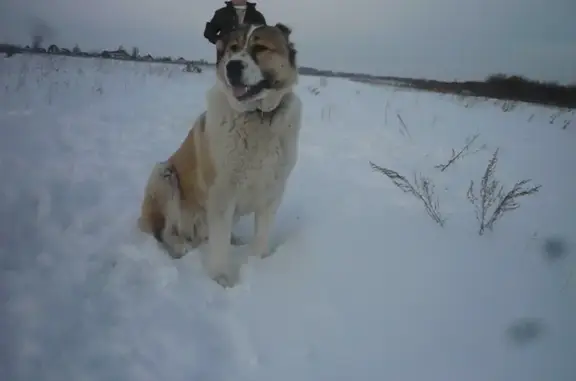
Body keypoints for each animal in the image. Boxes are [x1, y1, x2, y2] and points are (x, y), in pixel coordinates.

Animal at [138, 23, 304, 284]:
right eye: (233, 48)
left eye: (260, 47)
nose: (232, 66)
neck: (258, 117)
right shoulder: (221, 194)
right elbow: (219, 243)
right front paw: (221, 279)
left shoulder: (272, 193)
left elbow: (261, 235)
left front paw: (258, 265)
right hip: (164, 174)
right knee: (166, 231)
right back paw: (179, 245)